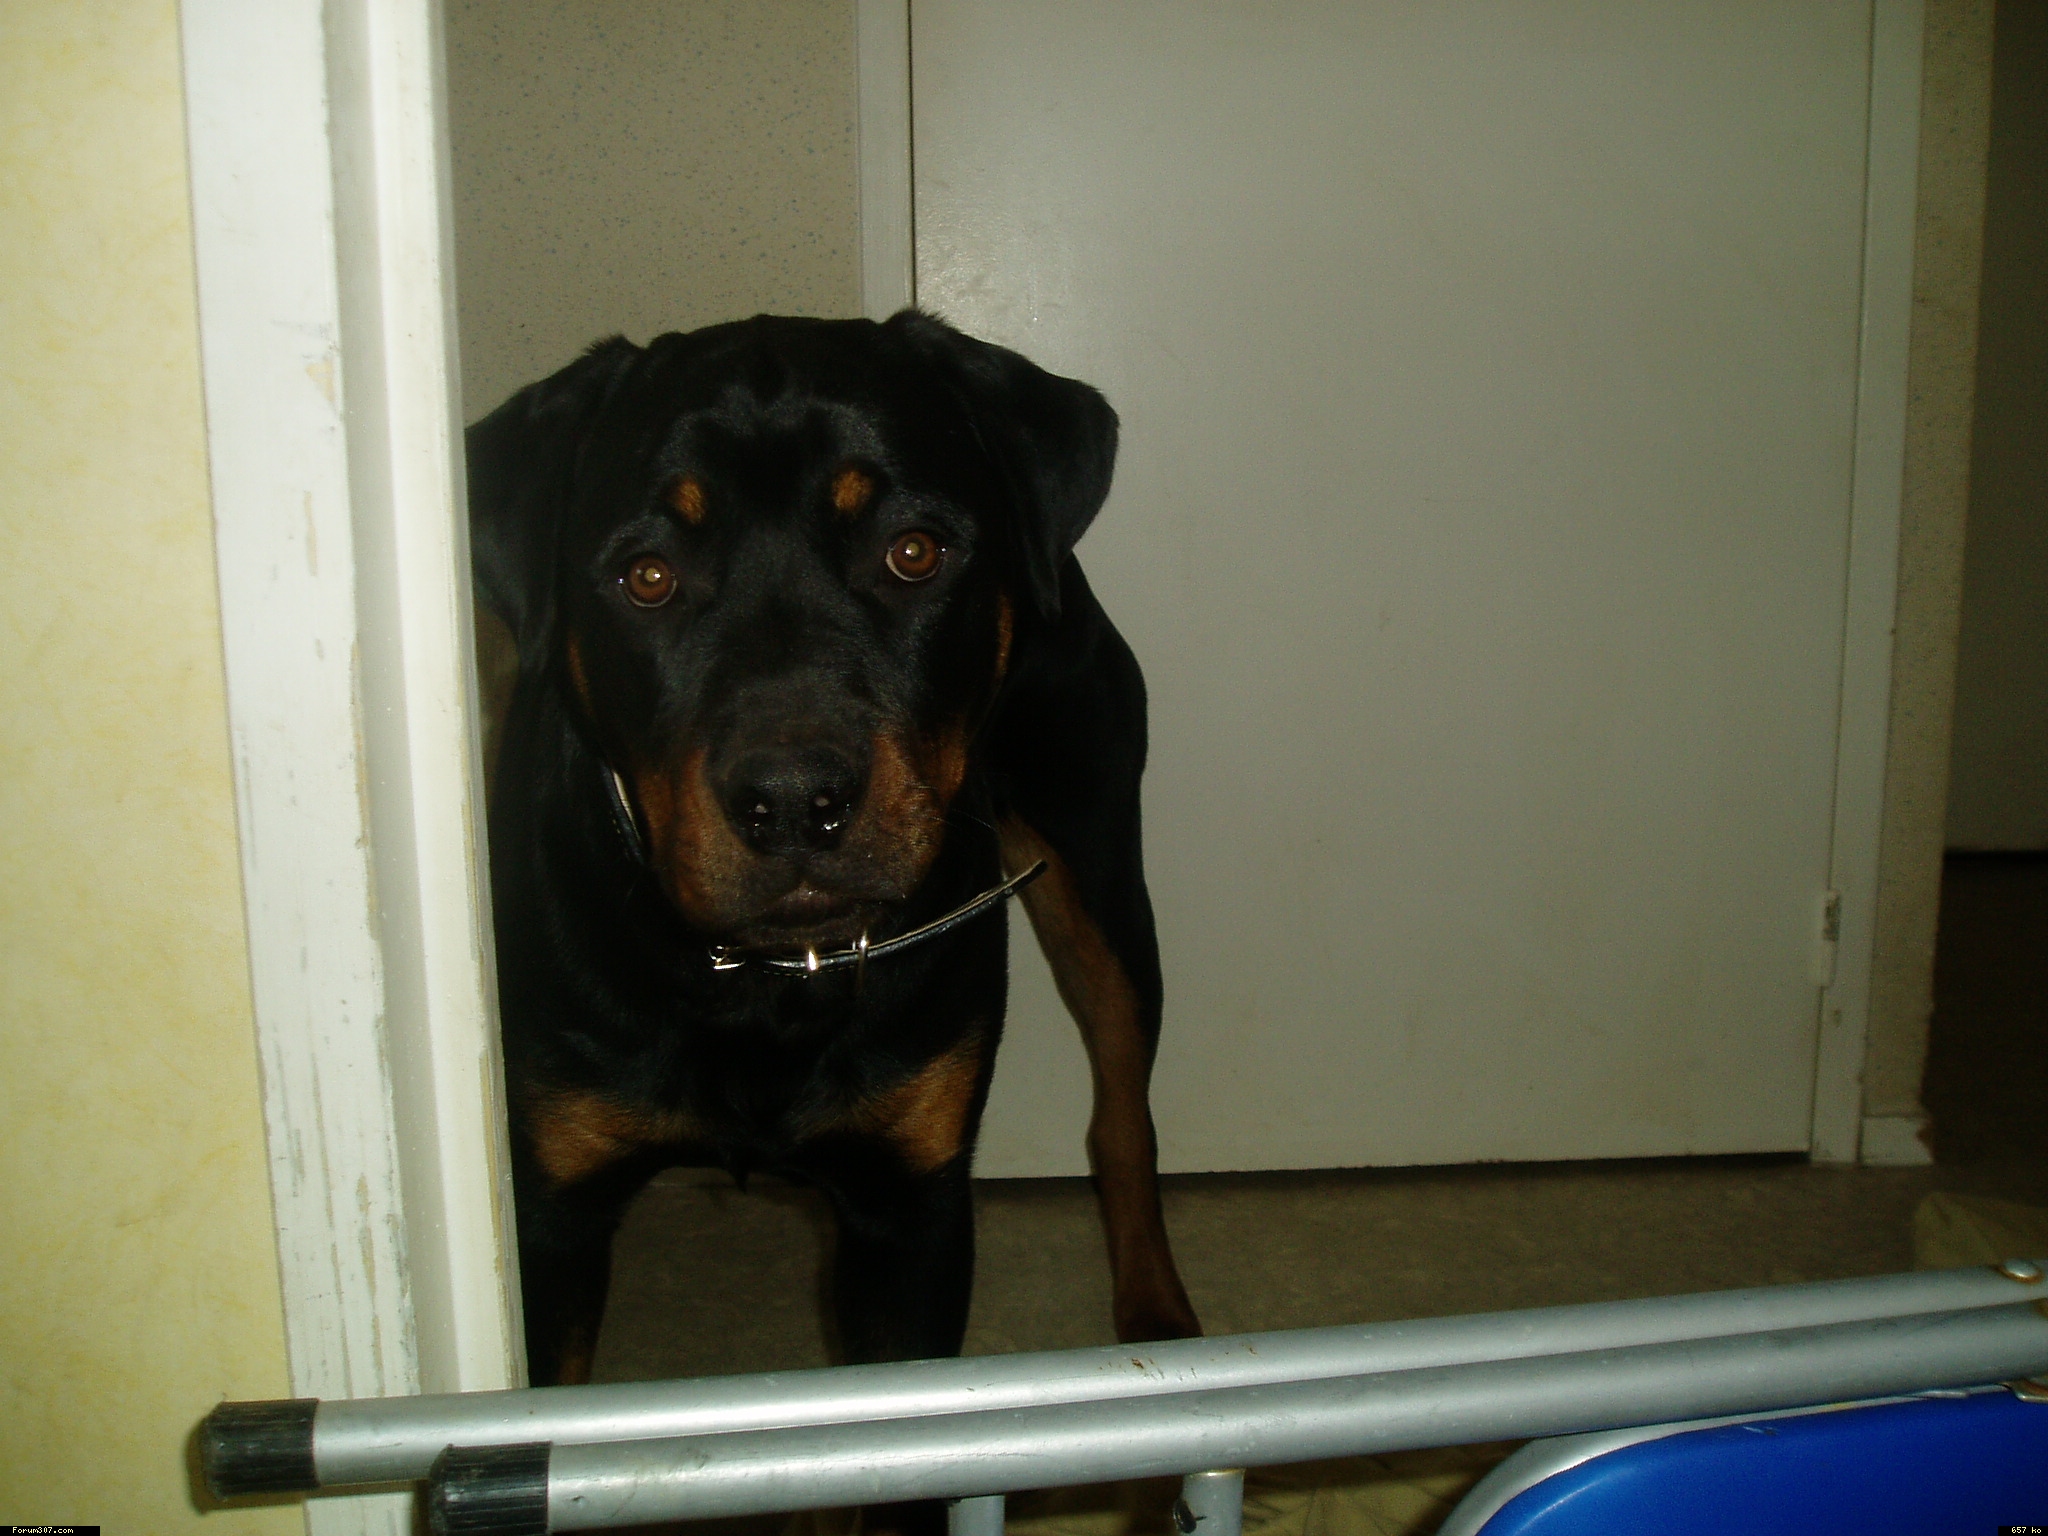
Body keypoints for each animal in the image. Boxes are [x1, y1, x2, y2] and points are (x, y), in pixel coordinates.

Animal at [471, 310, 1200, 1387]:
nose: (790, 800)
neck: (756, 988)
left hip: (1098, 859)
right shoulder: (552, 1203)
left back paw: (1155, 1314)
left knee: (1121, 1107)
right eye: (646, 577)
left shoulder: (908, 1204)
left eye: (913, 551)